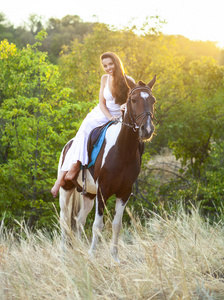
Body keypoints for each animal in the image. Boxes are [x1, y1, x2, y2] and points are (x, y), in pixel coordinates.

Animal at [59, 75, 157, 262]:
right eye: (133, 100)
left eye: (153, 100)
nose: (146, 130)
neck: (122, 150)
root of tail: (68, 145)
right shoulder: (102, 191)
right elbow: (98, 224)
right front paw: (92, 255)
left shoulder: (124, 192)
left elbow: (116, 225)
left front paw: (115, 257)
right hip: (66, 190)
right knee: (64, 220)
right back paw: (64, 253)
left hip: (88, 195)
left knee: (79, 221)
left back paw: (78, 251)